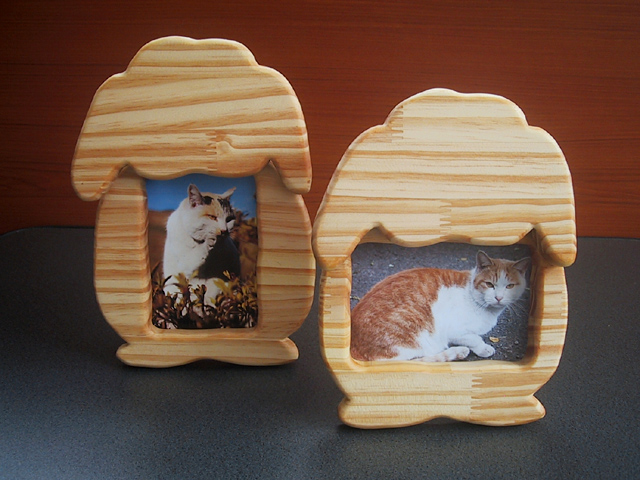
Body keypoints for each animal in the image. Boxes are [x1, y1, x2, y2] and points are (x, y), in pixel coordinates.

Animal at [350, 250, 530, 362]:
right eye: (489, 284)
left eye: (509, 286)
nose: (499, 297)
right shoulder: (455, 331)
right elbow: (474, 338)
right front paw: (483, 348)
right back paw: (458, 352)